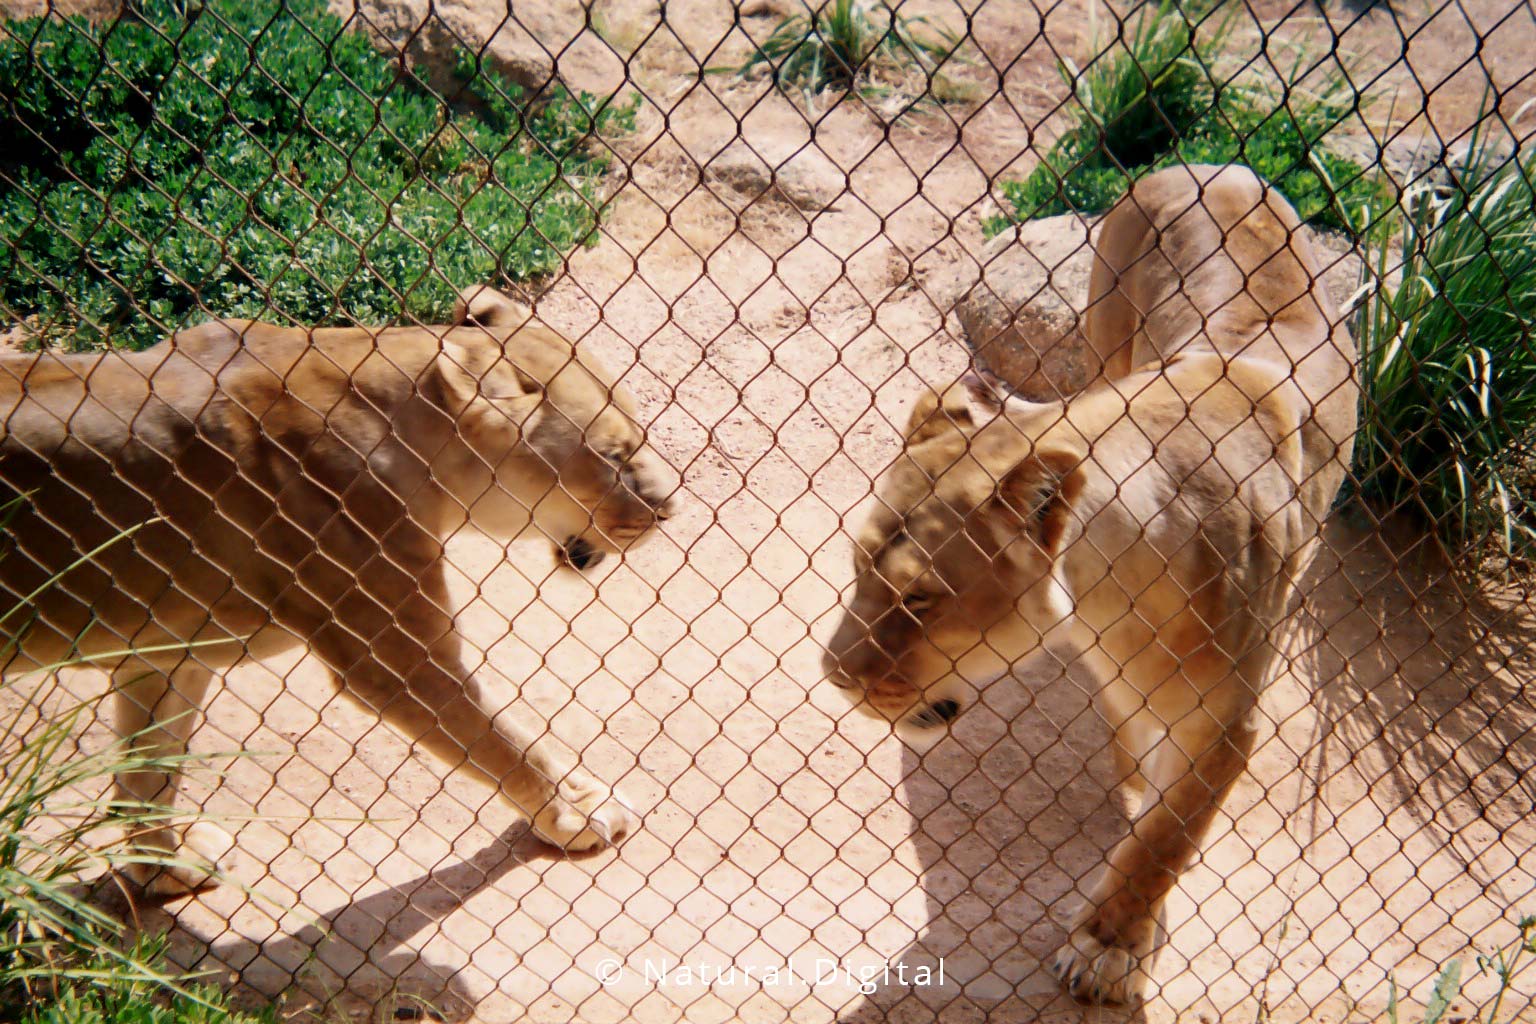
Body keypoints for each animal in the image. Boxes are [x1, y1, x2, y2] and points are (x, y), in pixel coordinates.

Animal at [0, 286, 677, 894]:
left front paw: (166, 867)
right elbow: (505, 742)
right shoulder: (396, 662)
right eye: (615, 455)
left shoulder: (165, 652)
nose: (671, 509)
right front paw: (579, 812)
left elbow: (151, 767)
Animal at [823, 165, 1358, 1003]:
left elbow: (1165, 839)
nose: (833, 678)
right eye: (857, 569)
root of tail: (1216, 166)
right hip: (1111, 333)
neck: (1113, 600)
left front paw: (1109, 948)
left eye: (920, 598)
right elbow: (1141, 766)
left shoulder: (1228, 721)